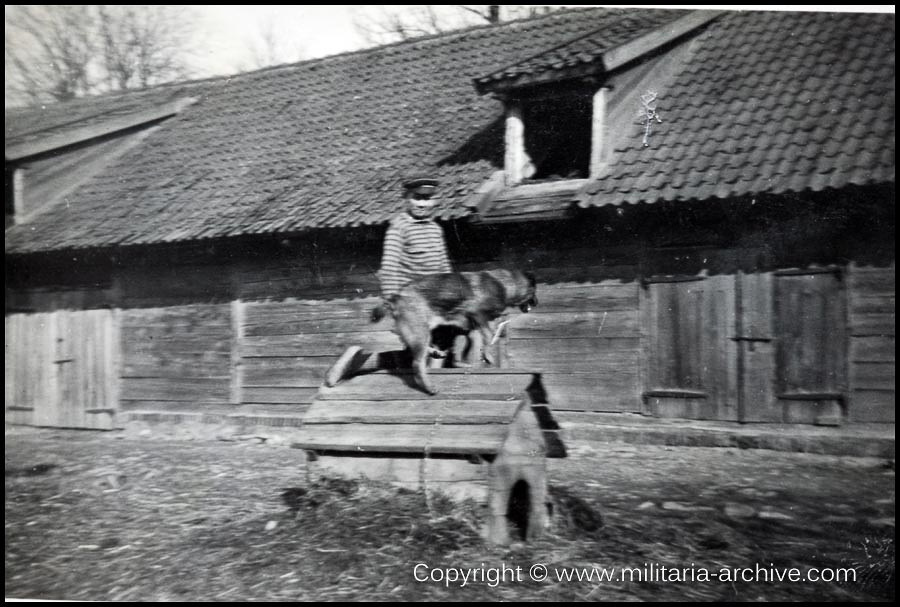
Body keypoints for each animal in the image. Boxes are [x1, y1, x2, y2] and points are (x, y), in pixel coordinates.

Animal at [370, 270, 536, 394]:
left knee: (410, 347)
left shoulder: (471, 328)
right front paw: (488, 355)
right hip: (421, 332)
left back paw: (435, 353)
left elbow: (472, 347)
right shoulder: (478, 315)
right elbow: (488, 335)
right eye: (534, 292)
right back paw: (429, 387)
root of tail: (396, 297)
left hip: (421, 331)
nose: (536, 303)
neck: (505, 283)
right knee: (417, 363)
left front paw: (472, 362)